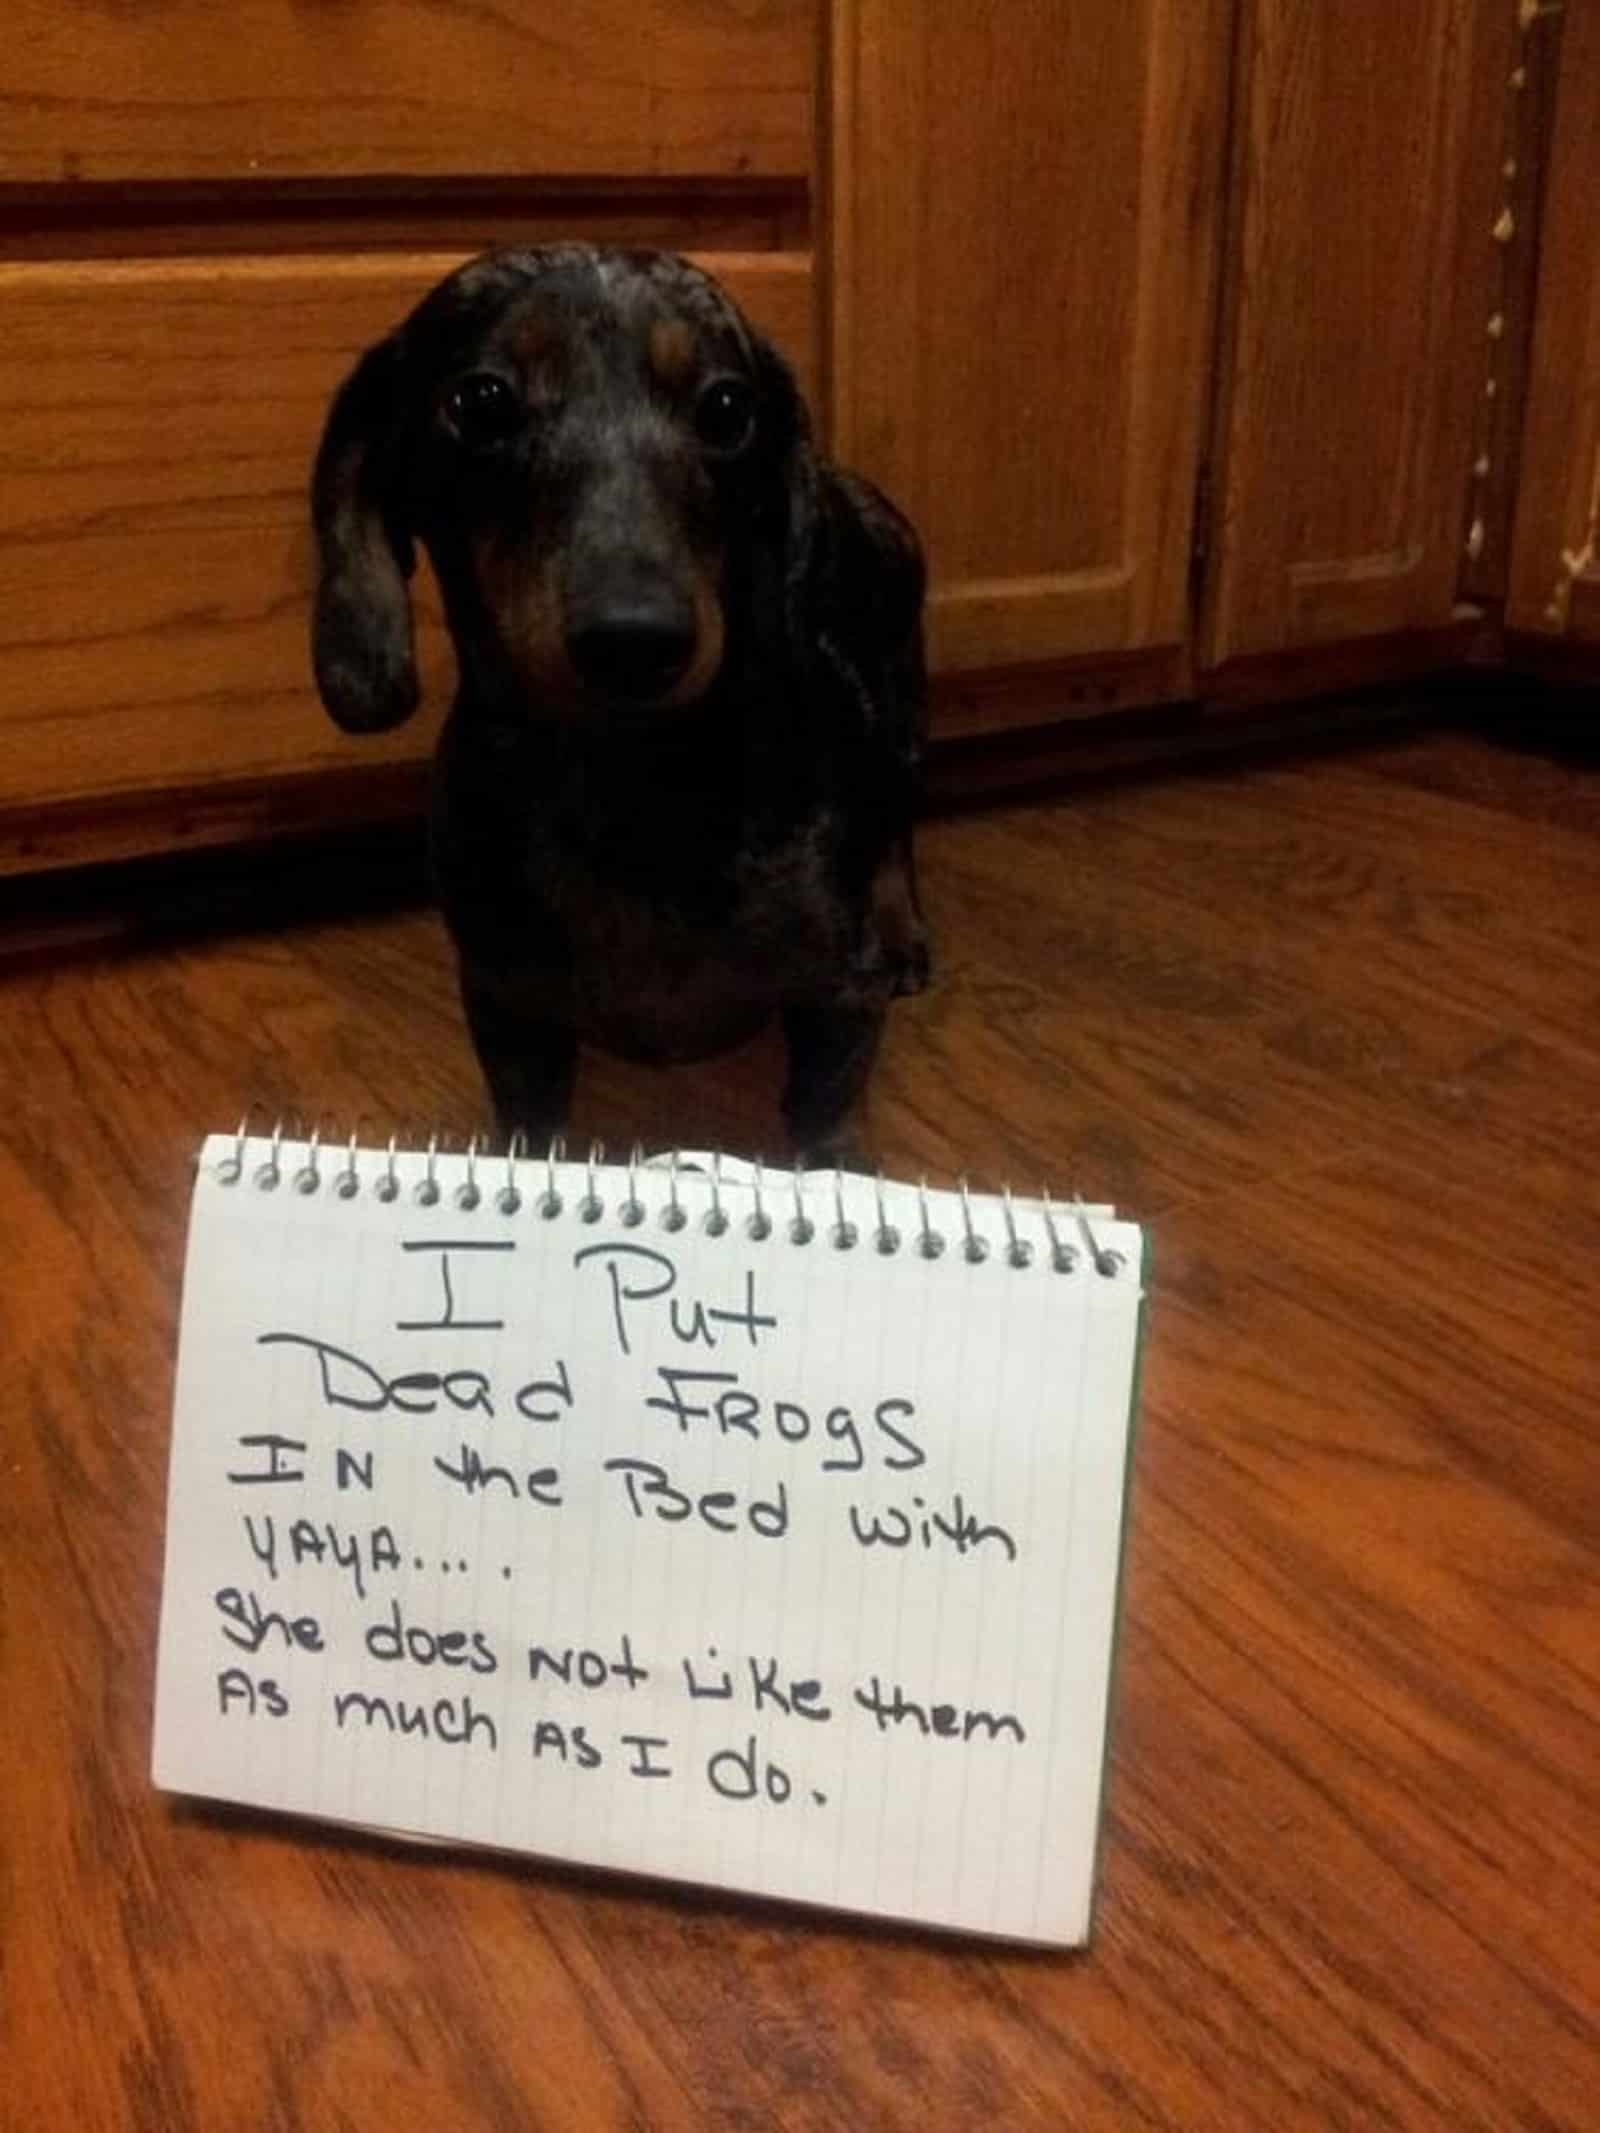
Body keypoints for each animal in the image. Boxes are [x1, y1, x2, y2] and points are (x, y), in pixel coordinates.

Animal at [309, 242, 925, 1160]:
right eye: (480, 401)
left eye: (729, 407)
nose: (636, 637)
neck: (634, 788)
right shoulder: (509, 1012)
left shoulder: (836, 997)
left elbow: (825, 1114)